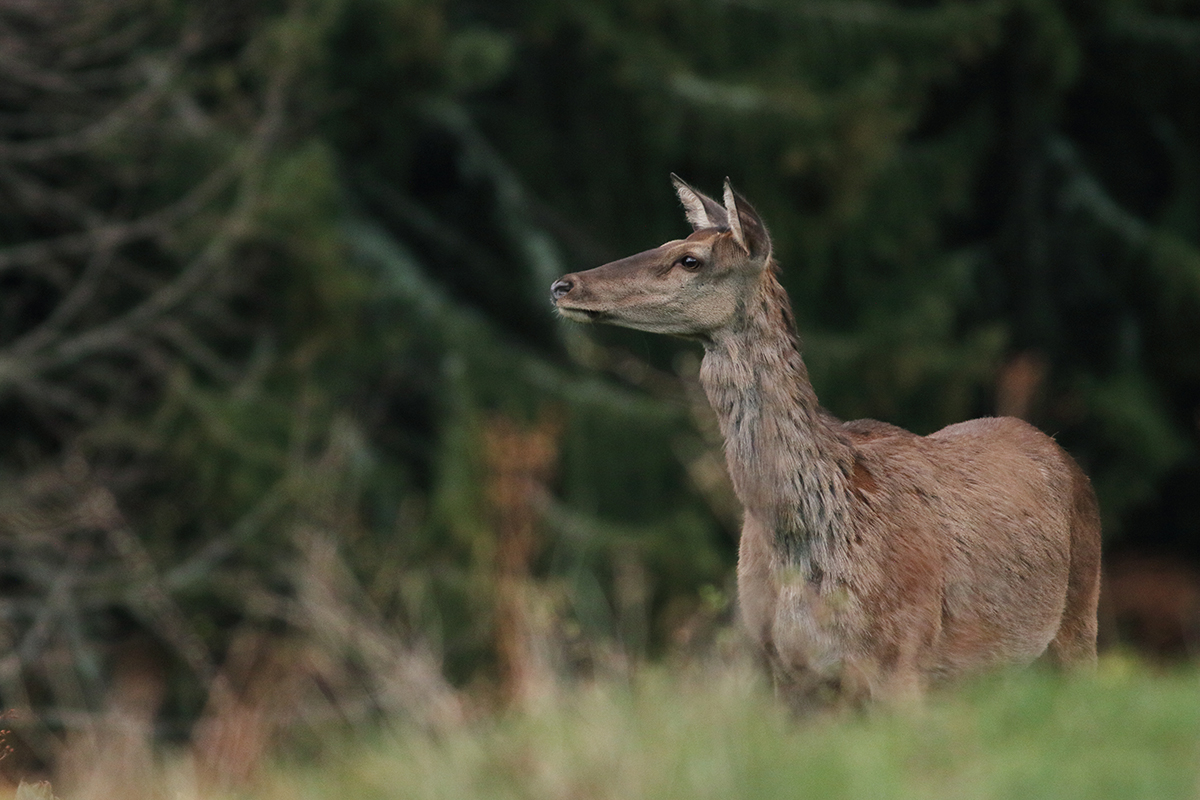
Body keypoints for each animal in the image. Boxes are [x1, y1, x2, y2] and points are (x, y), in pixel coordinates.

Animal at [549, 178, 1099, 710]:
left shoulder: (904, 655)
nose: (562, 284)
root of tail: (1059, 450)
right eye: (670, 242)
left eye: (689, 258)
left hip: (1078, 618)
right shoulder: (783, 668)